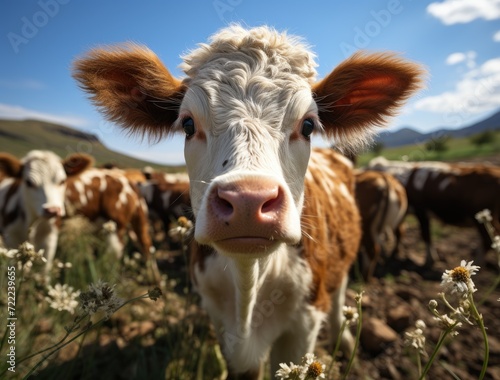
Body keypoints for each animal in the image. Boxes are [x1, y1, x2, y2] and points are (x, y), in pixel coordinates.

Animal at [72, 25, 424, 378]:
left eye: (308, 125)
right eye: (188, 124)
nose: (247, 200)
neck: (247, 286)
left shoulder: (303, 328)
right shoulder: (219, 321)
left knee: (339, 303)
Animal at [368, 156, 500, 266]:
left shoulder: (421, 211)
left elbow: (424, 235)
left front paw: (429, 259)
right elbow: (401, 232)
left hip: (482, 219)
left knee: (488, 241)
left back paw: (477, 263)